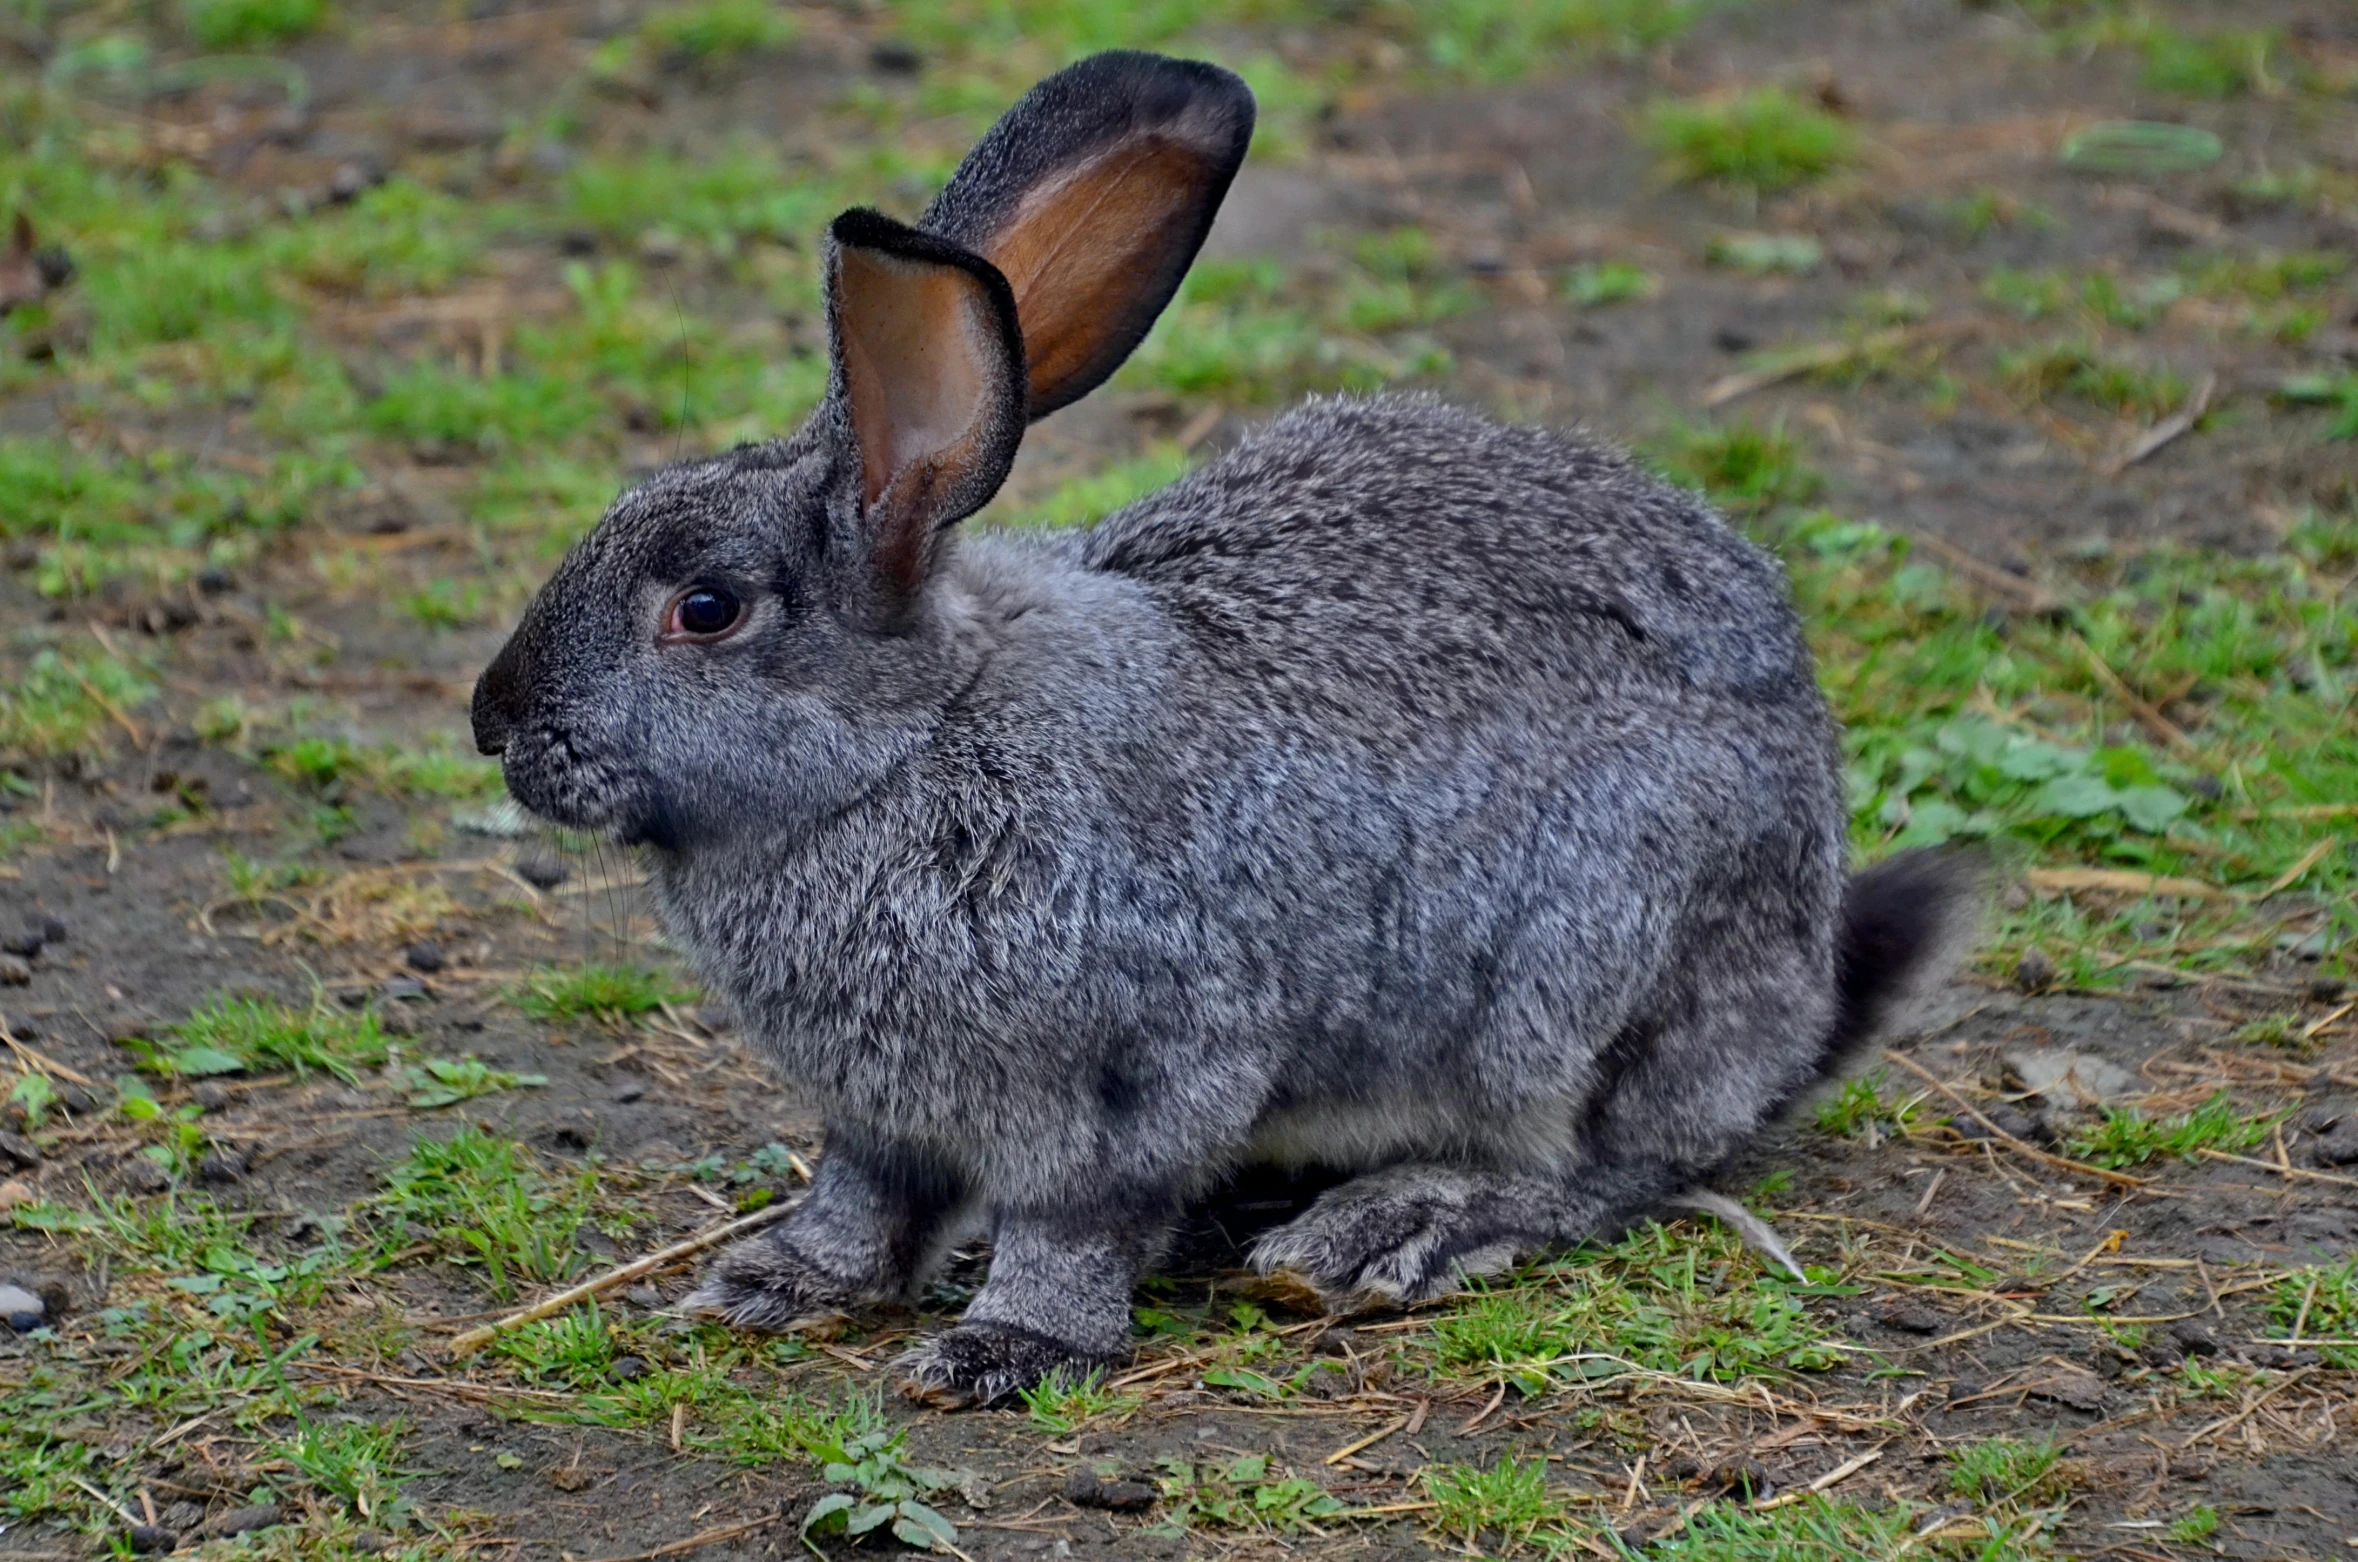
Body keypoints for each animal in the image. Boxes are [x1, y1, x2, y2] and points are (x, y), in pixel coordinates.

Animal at [469, 48, 1980, 1406]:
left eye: (706, 608)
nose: (494, 721)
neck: (911, 743)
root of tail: (1804, 971)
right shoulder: (878, 1114)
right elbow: (862, 1199)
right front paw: (776, 1281)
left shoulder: (1141, 1074)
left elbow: (1072, 1227)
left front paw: (1001, 1349)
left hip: (1590, 968)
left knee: (1598, 1164)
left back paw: (1383, 1230)